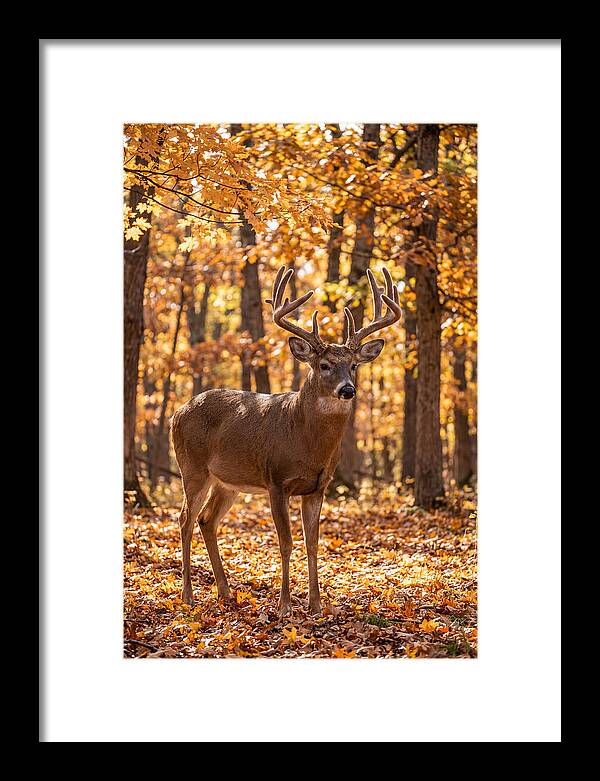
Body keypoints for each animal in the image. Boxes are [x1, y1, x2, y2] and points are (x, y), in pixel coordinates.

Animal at [170, 265, 402, 618]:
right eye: (324, 365)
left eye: (353, 365)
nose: (348, 389)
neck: (306, 442)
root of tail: (177, 412)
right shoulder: (276, 480)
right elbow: (286, 542)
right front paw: (284, 606)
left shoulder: (318, 487)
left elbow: (312, 543)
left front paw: (317, 605)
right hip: (192, 468)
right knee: (185, 518)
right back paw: (188, 596)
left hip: (228, 482)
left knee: (206, 520)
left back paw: (225, 593)